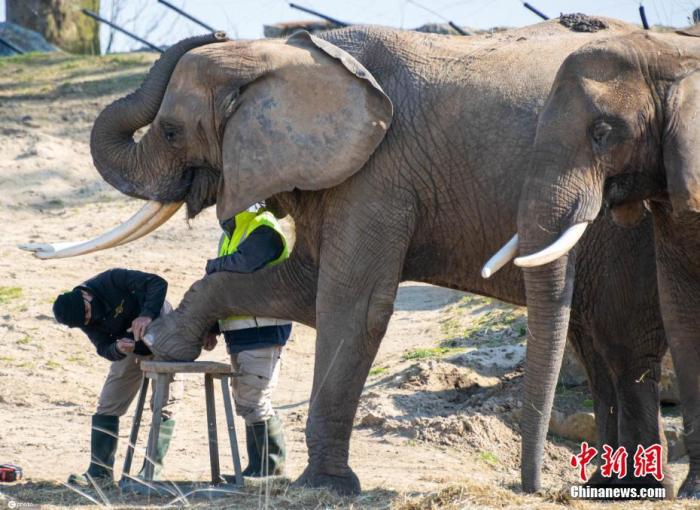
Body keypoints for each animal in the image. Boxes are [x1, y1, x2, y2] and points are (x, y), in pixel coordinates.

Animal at [21, 14, 668, 494]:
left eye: (174, 131)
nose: (215, 29)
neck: (288, 55)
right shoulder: (342, 170)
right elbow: (299, 286)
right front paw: (170, 341)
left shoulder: (381, 171)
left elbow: (349, 303)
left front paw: (325, 487)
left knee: (628, 349)